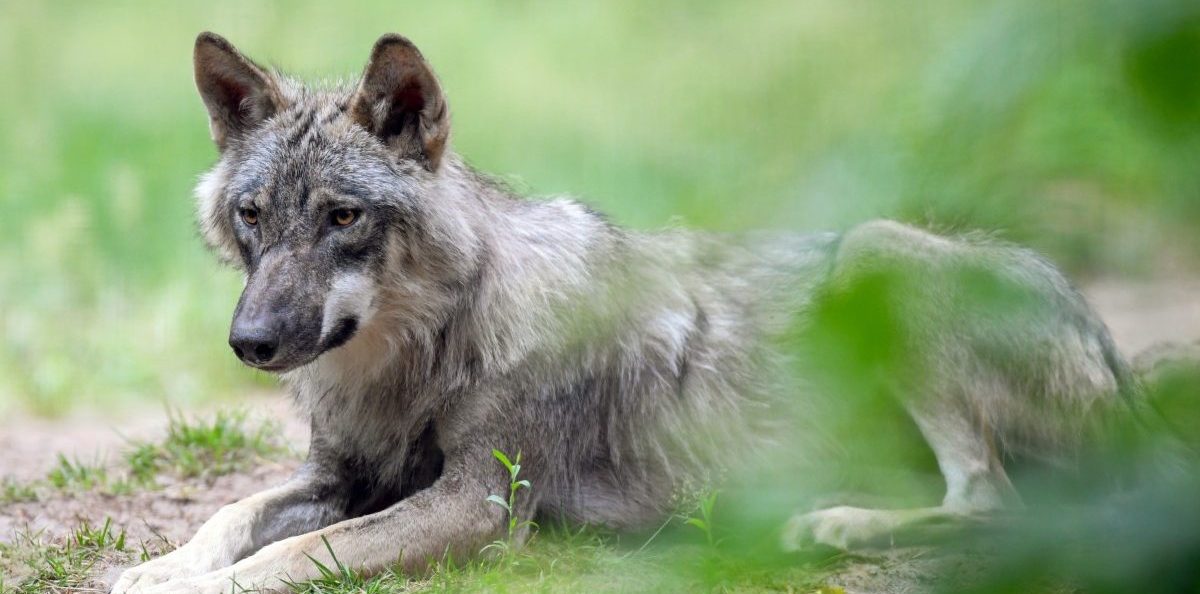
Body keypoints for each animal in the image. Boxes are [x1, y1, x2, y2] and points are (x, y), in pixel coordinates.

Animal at [111, 32, 1146, 593]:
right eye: (253, 216)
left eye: (342, 217)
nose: (249, 343)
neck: (417, 354)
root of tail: (1111, 354)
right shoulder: (340, 475)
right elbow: (231, 518)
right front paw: (162, 567)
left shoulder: (478, 505)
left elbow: (292, 555)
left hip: (875, 248)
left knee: (994, 502)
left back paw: (834, 526)